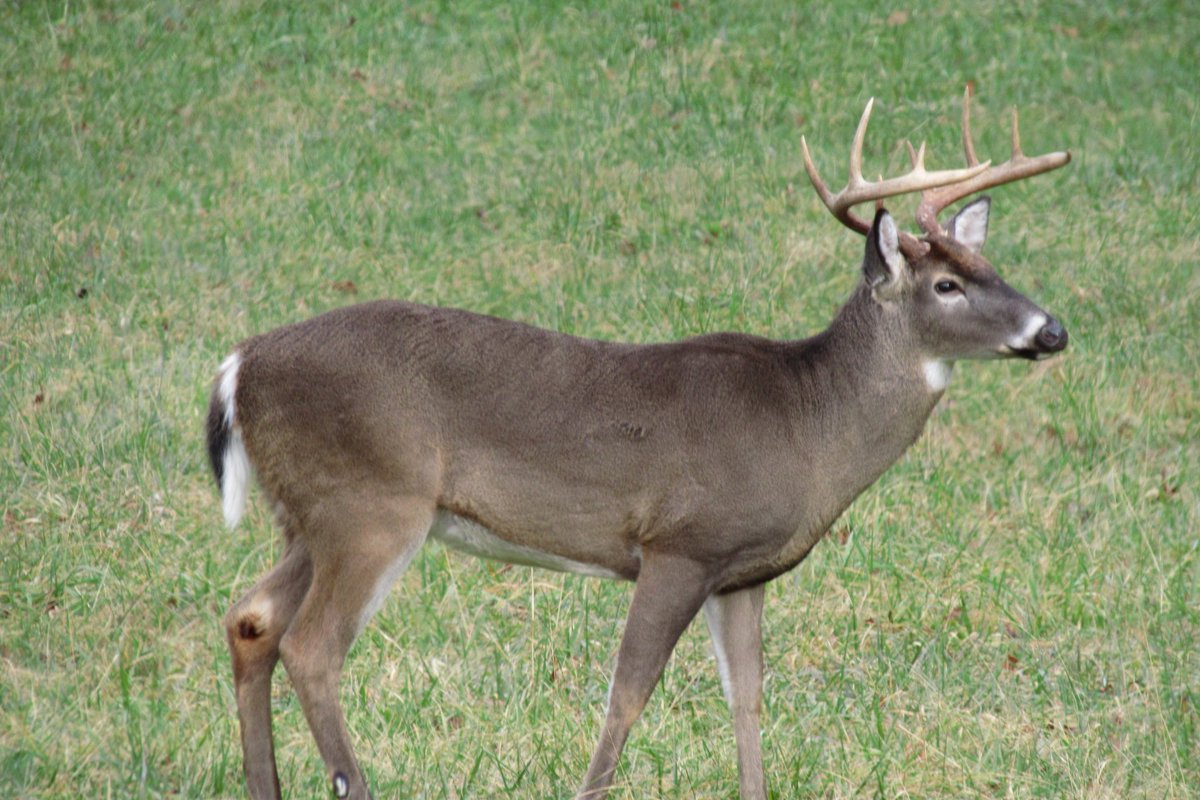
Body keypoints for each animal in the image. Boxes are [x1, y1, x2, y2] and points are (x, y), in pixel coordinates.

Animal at [207, 89, 1069, 800]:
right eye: (946, 286)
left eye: (991, 265)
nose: (1052, 329)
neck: (808, 420)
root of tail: (238, 365)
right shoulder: (679, 543)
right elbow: (627, 694)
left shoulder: (742, 570)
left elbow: (747, 699)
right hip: (373, 504)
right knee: (312, 645)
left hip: (311, 513)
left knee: (251, 617)